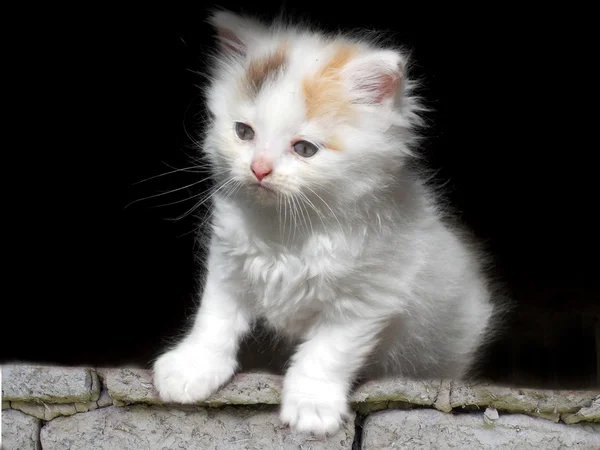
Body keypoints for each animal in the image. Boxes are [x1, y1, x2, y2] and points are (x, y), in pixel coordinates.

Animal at [154, 10, 502, 438]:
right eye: (243, 132)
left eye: (304, 149)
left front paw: (311, 407)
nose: (259, 169)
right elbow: (214, 319)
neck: (290, 230)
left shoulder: (367, 297)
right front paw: (191, 369)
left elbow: (326, 353)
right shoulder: (228, 262)